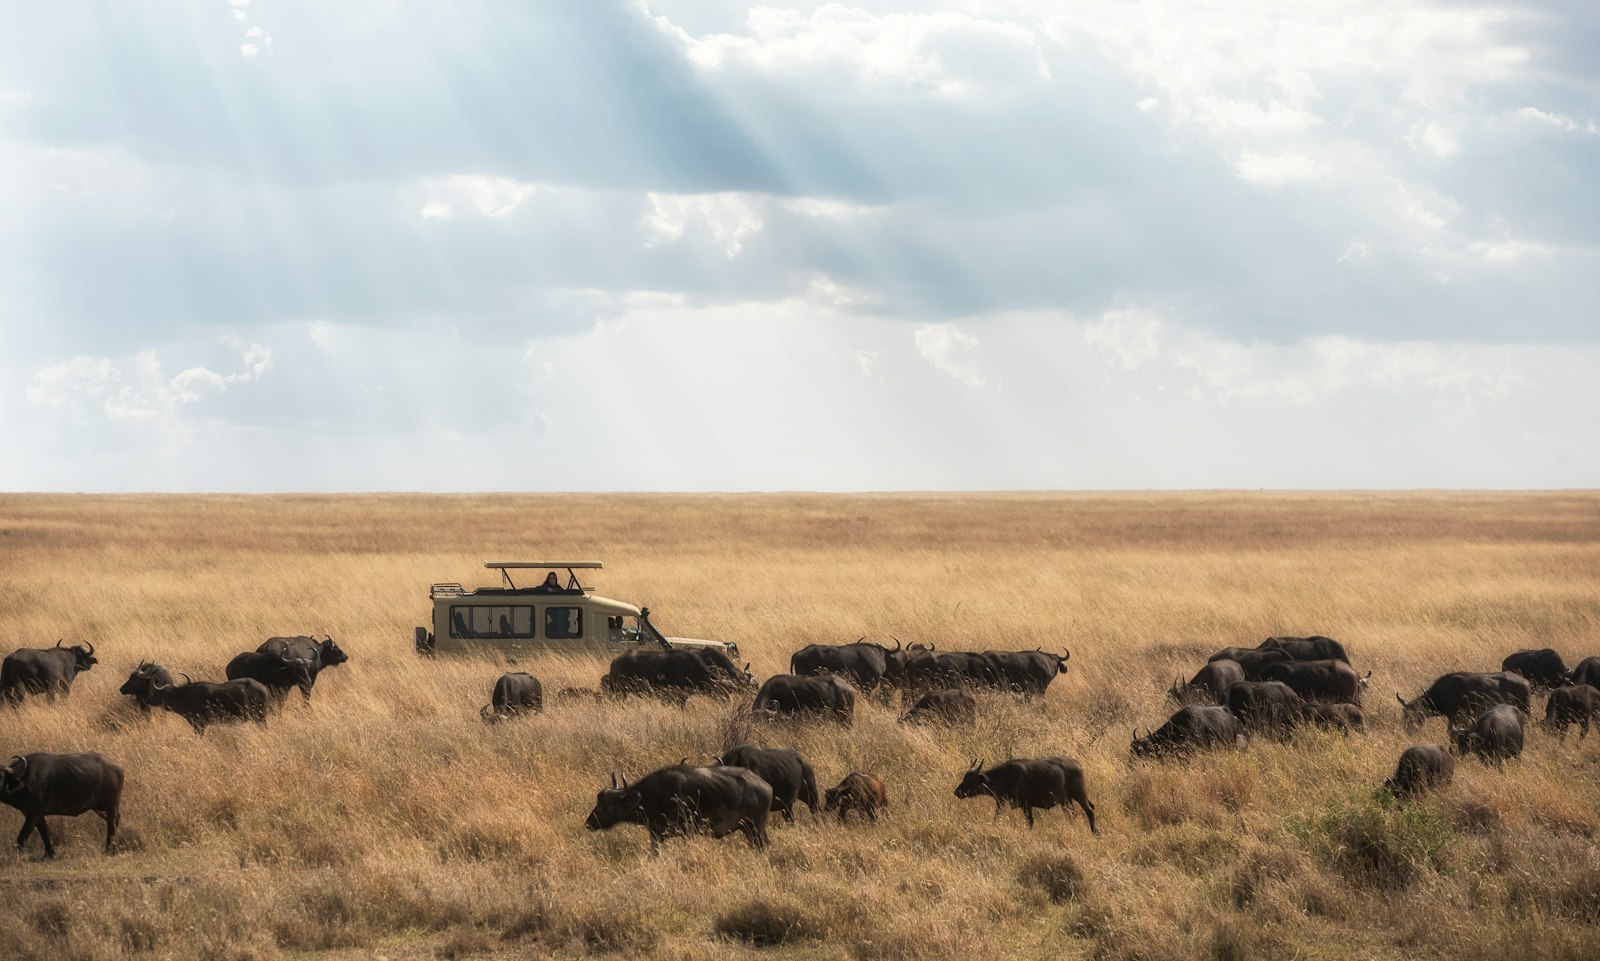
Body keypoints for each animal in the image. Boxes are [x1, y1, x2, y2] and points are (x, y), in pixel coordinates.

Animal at [584, 764, 772, 852]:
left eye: (605, 805)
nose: (589, 823)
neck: (653, 795)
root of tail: (766, 786)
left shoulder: (688, 832)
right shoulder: (656, 835)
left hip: (755, 827)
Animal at [954, 757, 1096, 832]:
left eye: (970, 780)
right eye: (964, 778)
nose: (957, 792)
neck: (1005, 776)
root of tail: (1076, 763)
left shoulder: (1026, 805)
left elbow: (1030, 822)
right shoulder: (1001, 803)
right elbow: (996, 818)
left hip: (1079, 794)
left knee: (1090, 811)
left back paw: (1095, 832)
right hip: (1066, 800)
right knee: (1072, 814)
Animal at [1397, 672, 1532, 731]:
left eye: (1416, 715)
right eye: (1404, 715)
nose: (1409, 730)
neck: (1442, 692)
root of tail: (1525, 682)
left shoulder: (1456, 717)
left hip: (1526, 710)